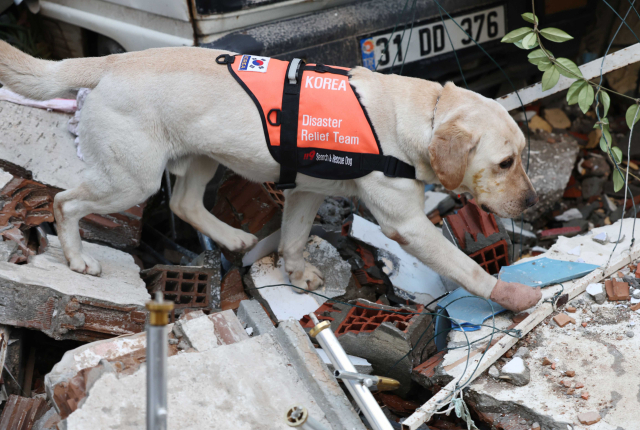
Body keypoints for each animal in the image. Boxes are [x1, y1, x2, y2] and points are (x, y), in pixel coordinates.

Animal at [0, 42, 540, 312]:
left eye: (522, 156)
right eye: (504, 163)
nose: (531, 205)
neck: (423, 116)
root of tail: (112, 60)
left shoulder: (304, 190)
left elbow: (295, 238)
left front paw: (295, 271)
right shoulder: (406, 225)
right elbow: (465, 268)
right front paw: (511, 296)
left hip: (201, 157)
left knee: (183, 203)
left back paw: (235, 239)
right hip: (130, 180)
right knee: (65, 202)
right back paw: (77, 259)